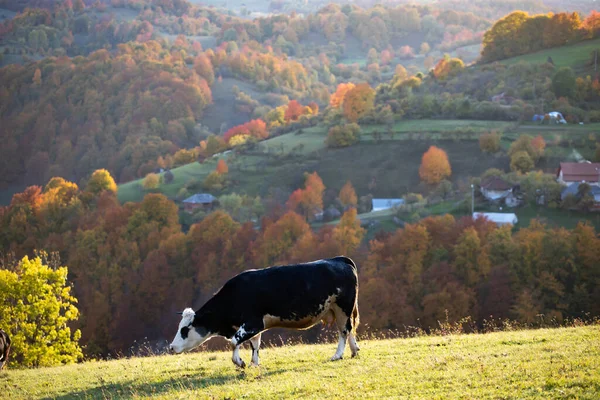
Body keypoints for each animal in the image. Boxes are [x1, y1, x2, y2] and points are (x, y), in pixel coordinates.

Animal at [168, 256, 360, 368]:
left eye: (185, 329)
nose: (171, 347)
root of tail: (339, 259)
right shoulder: (253, 326)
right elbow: (255, 344)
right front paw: (254, 364)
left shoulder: (253, 323)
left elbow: (234, 341)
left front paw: (240, 362)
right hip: (339, 310)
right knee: (349, 328)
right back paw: (354, 351)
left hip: (343, 306)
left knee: (344, 331)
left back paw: (337, 355)